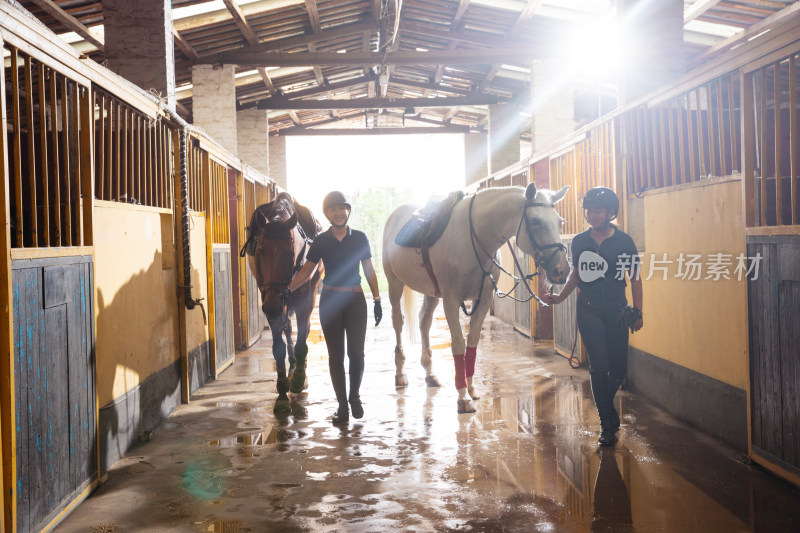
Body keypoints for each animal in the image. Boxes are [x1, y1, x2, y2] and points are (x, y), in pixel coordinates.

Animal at [244, 193, 322, 414]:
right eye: (260, 251)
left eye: (289, 253)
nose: (272, 306)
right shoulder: (269, 296)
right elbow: (279, 345)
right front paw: (281, 394)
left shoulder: (302, 295)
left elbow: (303, 337)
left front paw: (298, 380)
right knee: (287, 327)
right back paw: (293, 366)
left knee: (303, 328)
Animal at [382, 185, 568, 414]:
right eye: (535, 222)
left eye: (559, 222)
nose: (562, 270)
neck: (475, 238)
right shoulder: (451, 300)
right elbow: (458, 345)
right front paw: (463, 397)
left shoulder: (484, 299)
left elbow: (472, 343)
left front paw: (471, 389)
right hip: (394, 283)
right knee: (398, 322)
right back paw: (400, 373)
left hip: (431, 292)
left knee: (424, 321)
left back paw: (430, 374)